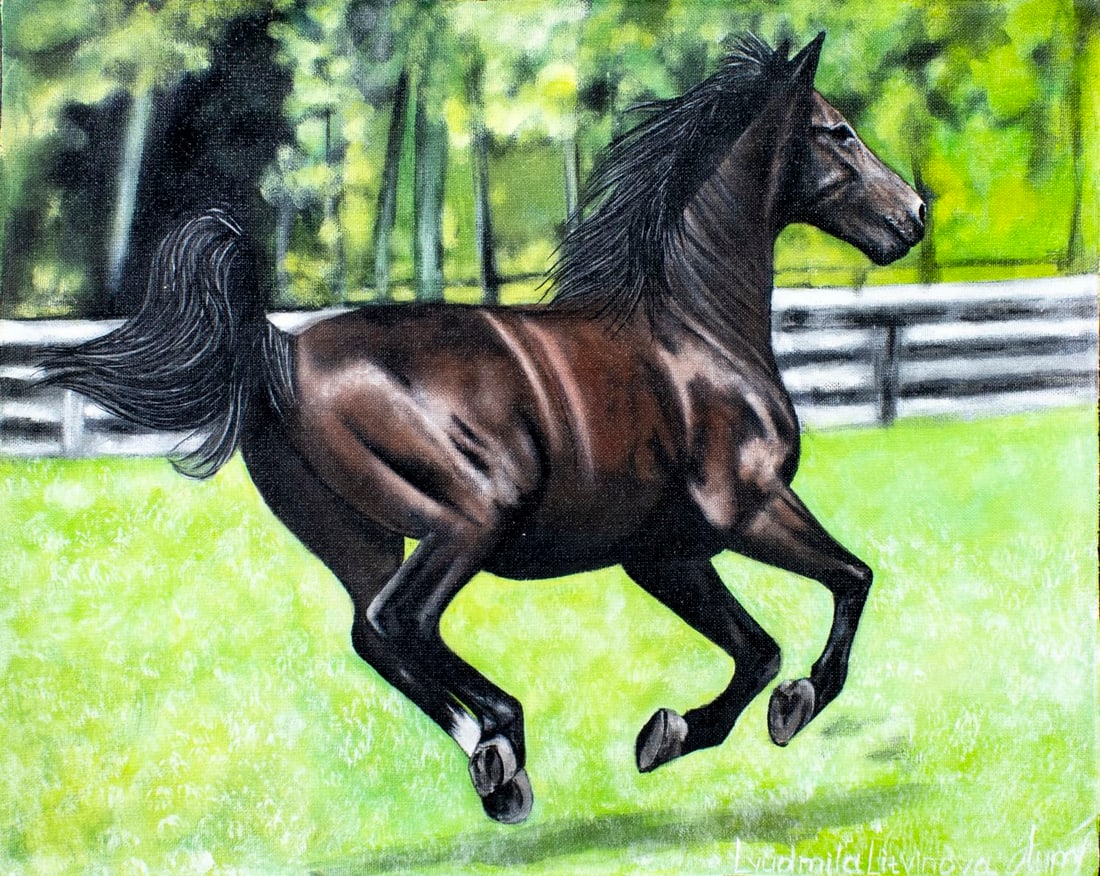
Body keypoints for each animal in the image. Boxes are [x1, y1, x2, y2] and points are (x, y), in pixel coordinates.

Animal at [42, 33, 924, 824]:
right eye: (838, 130)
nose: (915, 215)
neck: (694, 330)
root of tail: (280, 351)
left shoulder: (664, 553)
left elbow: (757, 650)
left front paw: (667, 734)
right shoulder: (748, 508)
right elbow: (851, 582)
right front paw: (793, 704)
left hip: (359, 541)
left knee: (373, 633)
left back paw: (495, 761)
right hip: (471, 516)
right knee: (399, 622)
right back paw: (501, 741)